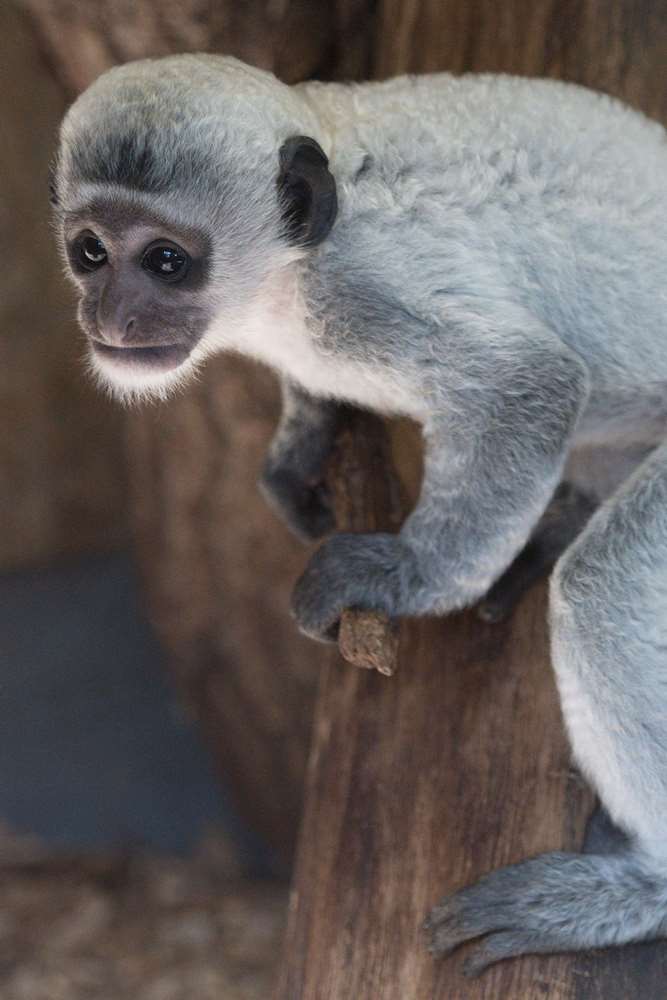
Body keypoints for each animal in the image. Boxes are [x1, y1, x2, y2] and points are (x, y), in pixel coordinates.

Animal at [53, 52, 667, 968]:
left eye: (164, 261)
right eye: (90, 252)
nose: (109, 316)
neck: (283, 282)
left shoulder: (365, 295)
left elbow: (531, 380)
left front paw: (401, 575)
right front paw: (302, 443)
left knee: (603, 584)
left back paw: (643, 886)